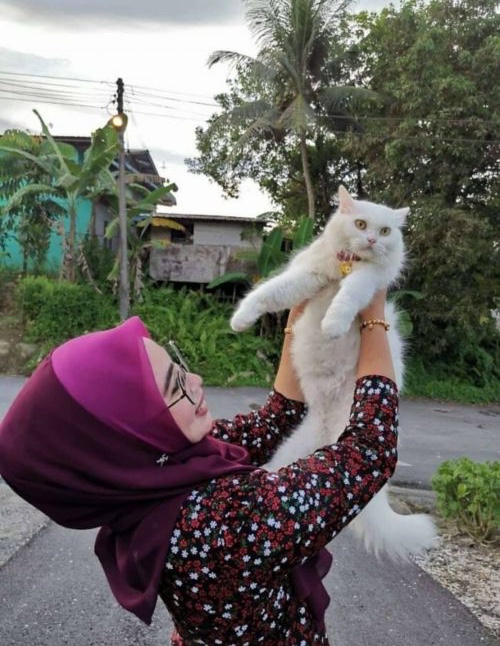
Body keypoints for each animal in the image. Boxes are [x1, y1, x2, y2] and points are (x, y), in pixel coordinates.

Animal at [232, 185, 436, 560]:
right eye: (361, 224)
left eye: (386, 231)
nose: (372, 239)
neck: (344, 266)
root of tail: (328, 434)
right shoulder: (308, 274)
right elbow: (268, 292)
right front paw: (239, 320)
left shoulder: (368, 280)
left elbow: (348, 296)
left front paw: (333, 326)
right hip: (289, 457)